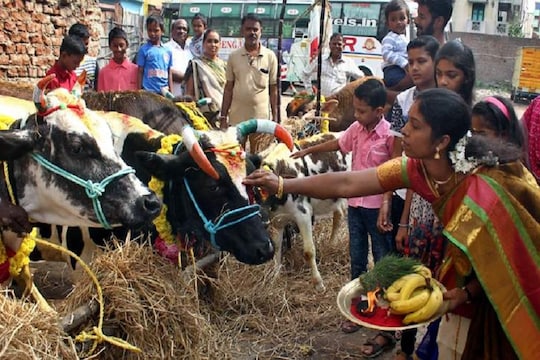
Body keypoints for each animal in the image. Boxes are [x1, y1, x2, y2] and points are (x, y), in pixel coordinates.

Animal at [254, 134, 348, 292]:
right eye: (253, 193)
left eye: (271, 188)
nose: (262, 219)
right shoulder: (277, 220)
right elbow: (277, 247)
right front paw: (275, 276)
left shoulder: (303, 215)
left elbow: (309, 251)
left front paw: (318, 283)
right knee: (339, 214)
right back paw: (331, 245)